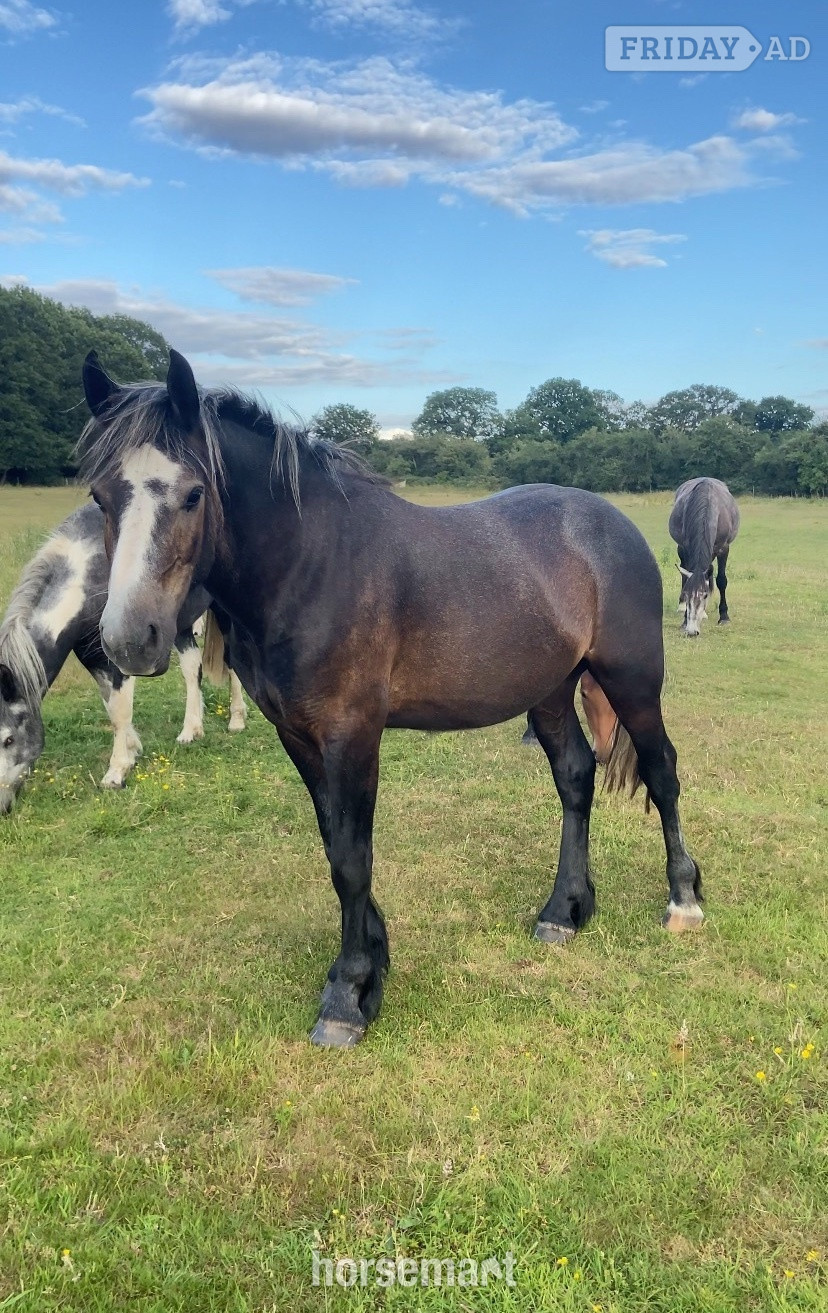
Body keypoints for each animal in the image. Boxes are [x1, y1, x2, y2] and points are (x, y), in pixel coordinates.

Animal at [0, 502, 246, 815]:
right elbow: (112, 707)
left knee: (232, 664)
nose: (1, 807)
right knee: (192, 668)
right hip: (179, 626)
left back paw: (236, 720)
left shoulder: (119, 659)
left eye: (9, 739)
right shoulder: (92, 657)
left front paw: (117, 772)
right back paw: (191, 731)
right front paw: (131, 750)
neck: (91, 574)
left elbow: (119, 712)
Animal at [79, 349, 703, 1048]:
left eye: (192, 494)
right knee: (575, 777)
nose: (130, 638)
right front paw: (371, 963)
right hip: (549, 691)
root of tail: (611, 522)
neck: (312, 566)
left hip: (632, 679)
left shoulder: (352, 733)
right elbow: (335, 844)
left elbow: (352, 860)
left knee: (662, 771)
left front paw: (348, 996)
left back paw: (683, 900)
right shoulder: (298, 736)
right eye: (100, 495)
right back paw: (565, 910)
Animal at [668, 477, 740, 637]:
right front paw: (684, 619)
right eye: (687, 594)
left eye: (705, 595)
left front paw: (724, 617)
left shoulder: (724, 548)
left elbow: (721, 581)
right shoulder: (686, 548)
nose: (691, 631)